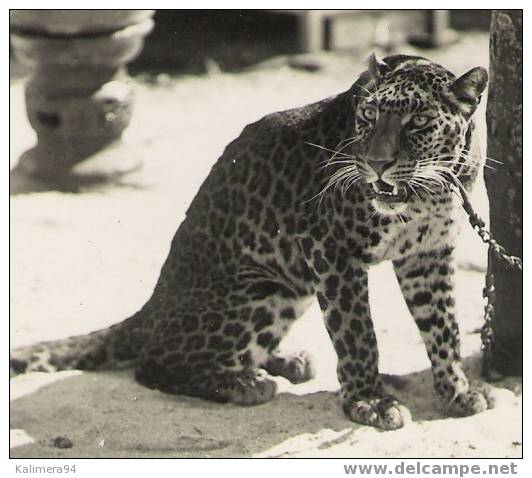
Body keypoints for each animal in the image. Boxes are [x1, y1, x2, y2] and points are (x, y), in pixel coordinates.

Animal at [11, 54, 494, 432]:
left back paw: (284, 361)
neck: (429, 190)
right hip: (263, 287)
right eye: (369, 117)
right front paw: (369, 401)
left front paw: (457, 392)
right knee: (154, 363)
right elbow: (358, 334)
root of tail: (150, 309)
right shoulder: (331, 250)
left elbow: (444, 327)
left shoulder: (428, 255)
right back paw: (245, 384)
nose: (376, 163)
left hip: (293, 287)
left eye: (419, 122)